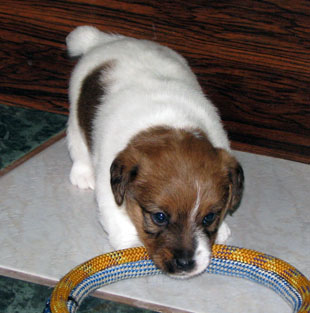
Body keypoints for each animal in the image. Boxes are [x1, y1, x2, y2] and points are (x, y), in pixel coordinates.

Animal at [66, 25, 245, 278]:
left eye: (209, 217)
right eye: (159, 217)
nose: (185, 264)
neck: (170, 124)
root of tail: (103, 41)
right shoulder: (108, 188)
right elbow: (117, 218)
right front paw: (129, 248)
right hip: (75, 117)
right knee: (77, 144)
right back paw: (82, 174)